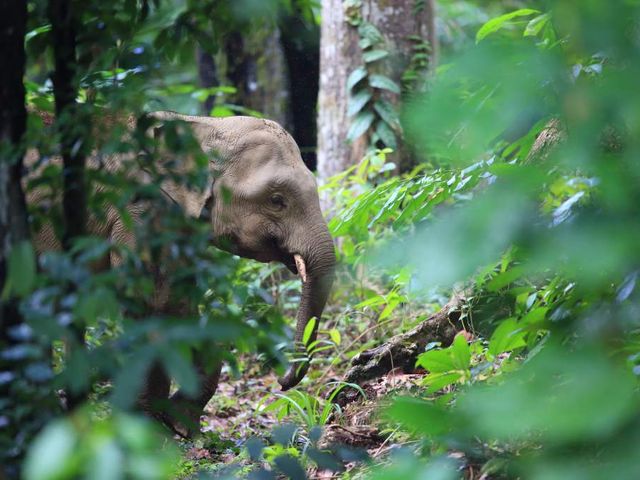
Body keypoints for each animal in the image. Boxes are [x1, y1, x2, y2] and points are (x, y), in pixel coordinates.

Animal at [26, 111, 336, 436]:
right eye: (277, 200)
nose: (281, 382)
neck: (202, 125)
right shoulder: (139, 212)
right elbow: (153, 302)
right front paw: (150, 426)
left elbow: (179, 303)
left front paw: (177, 424)